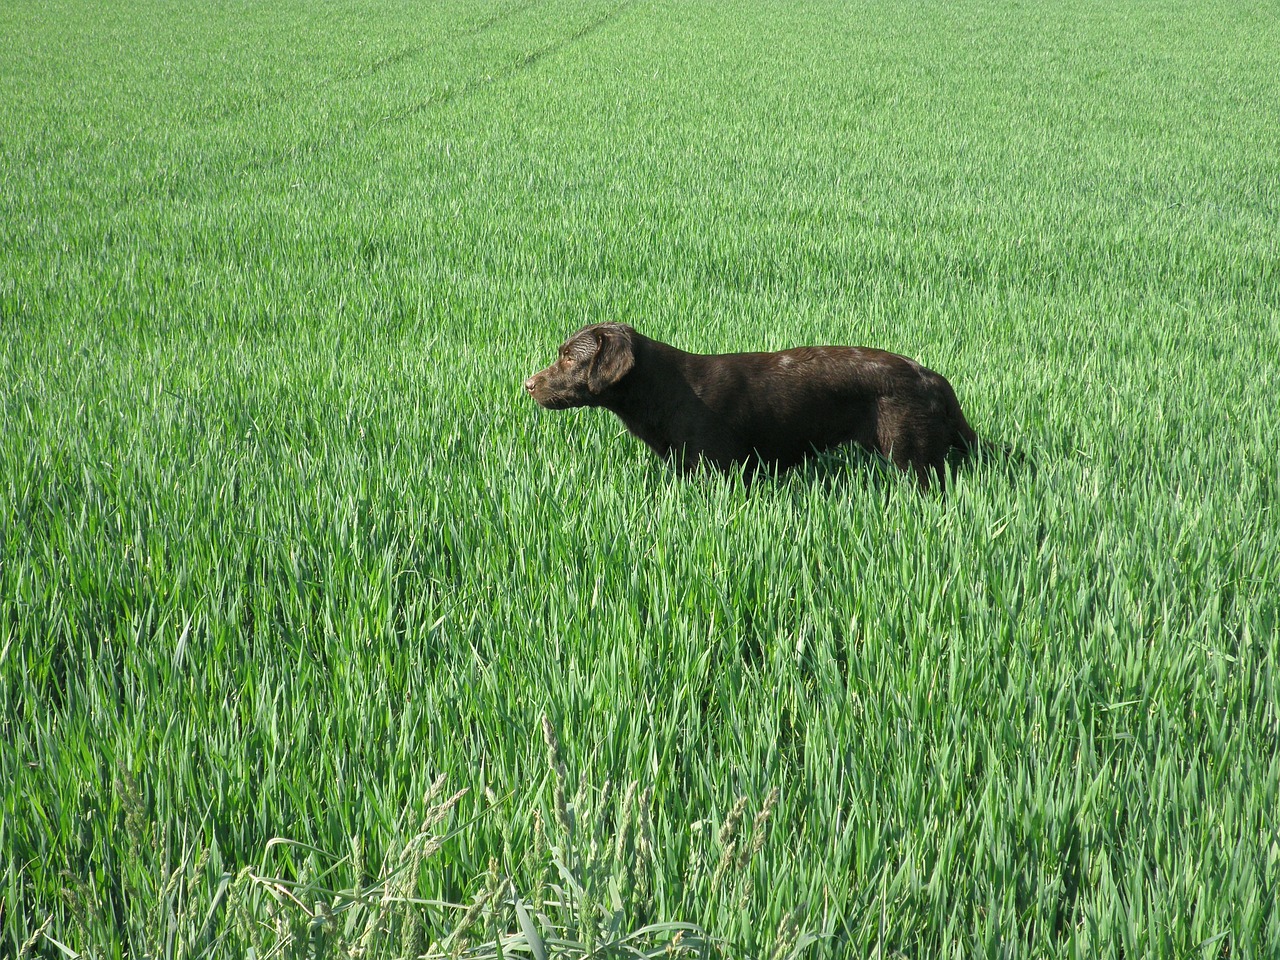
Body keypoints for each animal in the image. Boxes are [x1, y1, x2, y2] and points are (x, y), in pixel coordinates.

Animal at [522, 325, 977, 488]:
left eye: (568, 358)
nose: (527, 385)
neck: (664, 391)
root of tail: (931, 377)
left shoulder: (719, 468)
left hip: (912, 458)